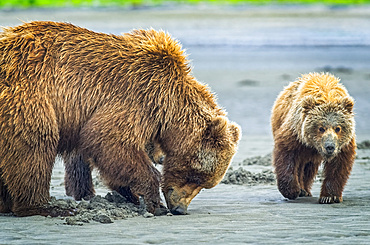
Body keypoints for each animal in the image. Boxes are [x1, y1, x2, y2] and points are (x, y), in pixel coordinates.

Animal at [0, 21, 241, 216]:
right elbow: (109, 139)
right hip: (27, 97)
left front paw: (129, 194)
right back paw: (43, 207)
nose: (180, 208)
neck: (169, 105)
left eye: (205, 184)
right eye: (196, 176)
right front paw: (154, 202)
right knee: (34, 146)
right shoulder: (138, 96)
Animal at [272, 72, 356, 204]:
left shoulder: (343, 145)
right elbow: (286, 155)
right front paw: (292, 191)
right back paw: (301, 190)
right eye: (321, 128)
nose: (330, 146)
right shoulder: (296, 133)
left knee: (308, 167)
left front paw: (329, 197)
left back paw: (305, 190)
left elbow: (338, 166)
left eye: (338, 128)